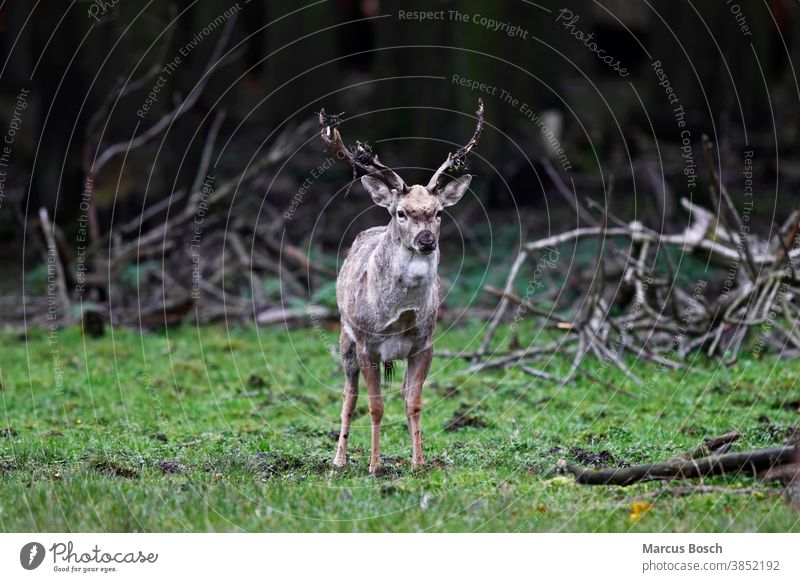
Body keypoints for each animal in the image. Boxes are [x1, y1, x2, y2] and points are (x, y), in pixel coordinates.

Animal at [318, 100, 482, 474]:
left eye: (438, 212)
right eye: (402, 213)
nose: (426, 241)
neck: (399, 315)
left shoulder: (425, 342)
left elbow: (413, 403)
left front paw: (419, 462)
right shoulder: (367, 343)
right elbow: (375, 406)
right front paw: (375, 466)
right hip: (346, 338)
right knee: (348, 398)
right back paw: (339, 460)